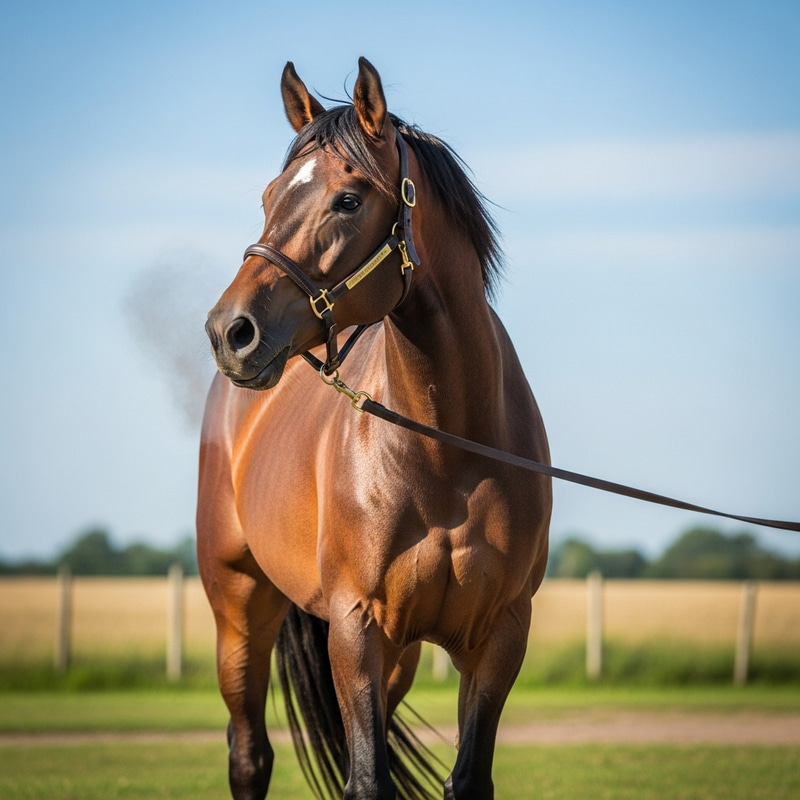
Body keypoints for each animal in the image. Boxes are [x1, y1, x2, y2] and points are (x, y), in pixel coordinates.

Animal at [198, 57, 552, 800]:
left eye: (348, 201)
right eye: (270, 195)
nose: (229, 331)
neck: (449, 453)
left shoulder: (498, 637)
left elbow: (465, 777)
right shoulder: (357, 630)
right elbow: (366, 780)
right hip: (238, 609)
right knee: (249, 754)